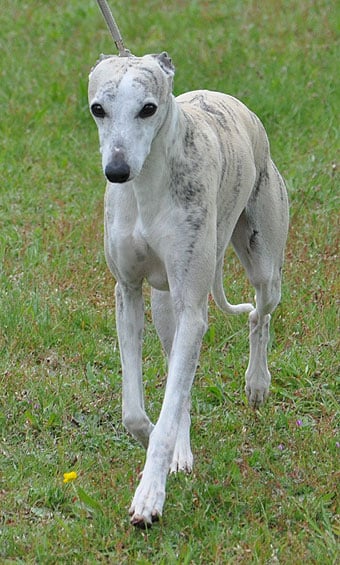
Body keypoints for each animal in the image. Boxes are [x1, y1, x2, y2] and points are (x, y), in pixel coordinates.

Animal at [87, 50, 286, 528]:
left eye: (148, 108)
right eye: (98, 109)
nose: (116, 171)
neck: (147, 187)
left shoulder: (194, 307)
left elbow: (168, 406)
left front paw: (149, 497)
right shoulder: (128, 292)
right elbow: (139, 412)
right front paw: (156, 442)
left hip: (263, 263)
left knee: (260, 314)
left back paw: (257, 382)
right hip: (164, 307)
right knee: (182, 374)